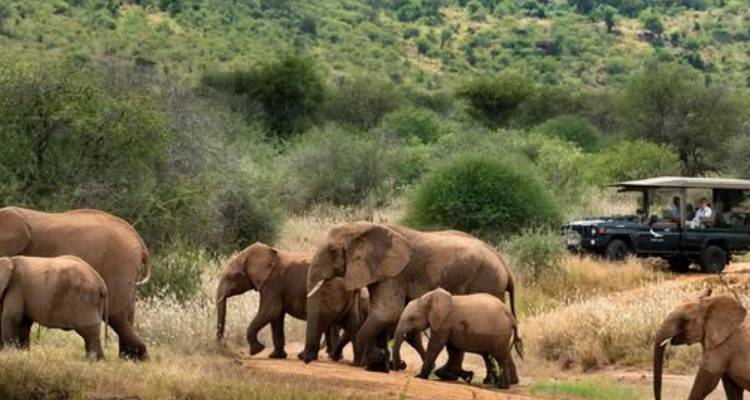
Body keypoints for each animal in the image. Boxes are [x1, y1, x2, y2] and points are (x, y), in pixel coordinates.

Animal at [215, 242, 366, 360]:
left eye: (232, 276)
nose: (222, 345)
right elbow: (276, 317)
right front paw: (276, 356)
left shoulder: (272, 283)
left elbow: (271, 311)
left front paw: (257, 350)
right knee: (352, 324)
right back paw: (353, 361)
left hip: (329, 293)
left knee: (320, 321)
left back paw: (305, 356)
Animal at [301, 222, 518, 376]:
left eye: (332, 251)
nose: (305, 358)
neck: (365, 228)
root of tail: (506, 268)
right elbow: (390, 319)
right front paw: (380, 362)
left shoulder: (395, 273)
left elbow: (387, 312)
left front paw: (362, 361)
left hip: (486, 283)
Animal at [392, 289, 523, 389]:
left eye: (411, 318)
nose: (403, 364)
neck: (428, 298)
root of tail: (511, 317)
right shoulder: (451, 327)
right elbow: (453, 351)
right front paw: (468, 376)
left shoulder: (444, 323)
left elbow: (436, 345)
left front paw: (419, 377)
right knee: (501, 355)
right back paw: (506, 382)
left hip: (499, 334)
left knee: (500, 356)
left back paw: (502, 386)